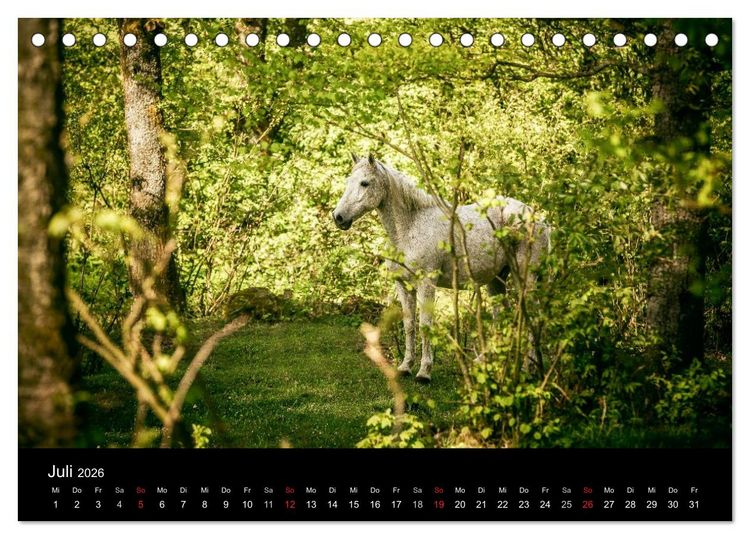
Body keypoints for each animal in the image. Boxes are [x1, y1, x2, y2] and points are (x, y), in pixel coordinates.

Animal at [332, 154, 551, 382]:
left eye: (365, 183)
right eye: (348, 181)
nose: (338, 217)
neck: (411, 227)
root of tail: (538, 218)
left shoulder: (426, 283)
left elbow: (425, 326)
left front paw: (424, 372)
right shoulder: (404, 285)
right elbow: (409, 325)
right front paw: (405, 366)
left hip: (525, 279)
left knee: (531, 316)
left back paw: (528, 369)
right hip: (496, 280)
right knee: (501, 317)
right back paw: (488, 364)